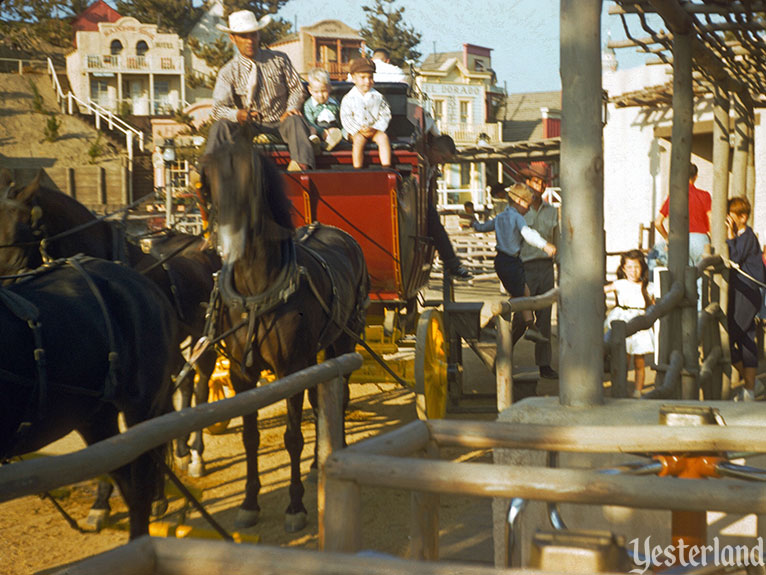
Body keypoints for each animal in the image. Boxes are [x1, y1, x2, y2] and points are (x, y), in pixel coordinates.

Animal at [200, 133, 370, 532]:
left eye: (250, 180)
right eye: (208, 180)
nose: (227, 240)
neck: (257, 290)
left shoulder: (290, 368)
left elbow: (292, 436)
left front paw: (295, 506)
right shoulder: (242, 374)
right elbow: (250, 437)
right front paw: (249, 502)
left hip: (343, 340)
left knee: (338, 396)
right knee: (321, 401)